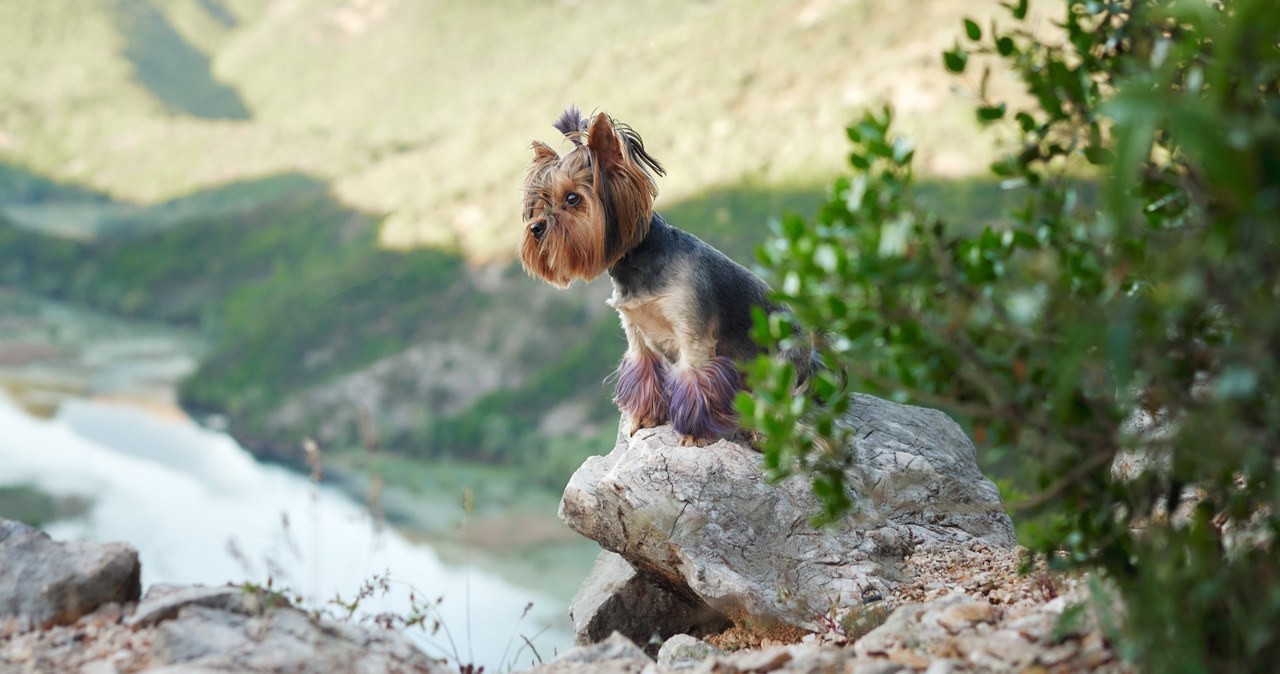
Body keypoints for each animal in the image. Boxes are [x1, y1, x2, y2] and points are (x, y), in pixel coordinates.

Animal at [519, 106, 808, 447]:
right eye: (540, 203)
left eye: (573, 199)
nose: (535, 228)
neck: (637, 261)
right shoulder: (635, 330)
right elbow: (644, 371)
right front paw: (645, 418)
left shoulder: (692, 334)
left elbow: (695, 380)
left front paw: (694, 434)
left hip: (779, 369)